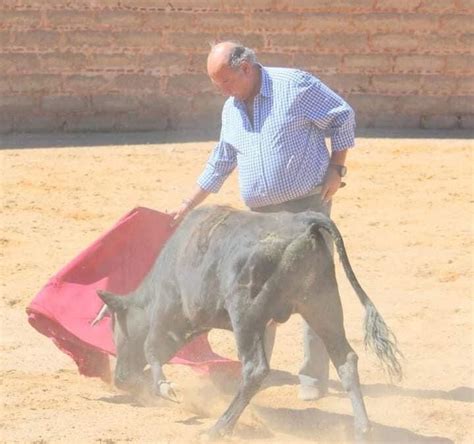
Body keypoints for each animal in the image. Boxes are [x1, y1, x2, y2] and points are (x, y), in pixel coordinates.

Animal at [98, 206, 402, 438]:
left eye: (116, 331)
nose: (121, 378)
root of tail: (304, 221)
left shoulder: (167, 309)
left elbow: (151, 348)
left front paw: (165, 388)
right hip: (321, 304)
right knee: (345, 359)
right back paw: (363, 429)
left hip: (246, 314)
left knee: (255, 369)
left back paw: (218, 428)